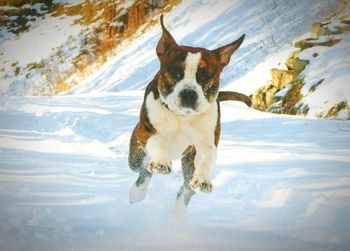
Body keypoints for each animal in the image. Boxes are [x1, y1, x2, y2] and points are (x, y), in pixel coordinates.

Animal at [128, 15, 249, 212]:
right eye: (175, 73)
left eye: (205, 76)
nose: (189, 94)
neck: (181, 116)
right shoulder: (146, 132)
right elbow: (157, 142)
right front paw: (161, 162)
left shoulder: (205, 141)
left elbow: (208, 155)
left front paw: (204, 180)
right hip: (135, 158)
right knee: (144, 170)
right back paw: (138, 192)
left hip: (188, 167)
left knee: (184, 190)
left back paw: (178, 213)